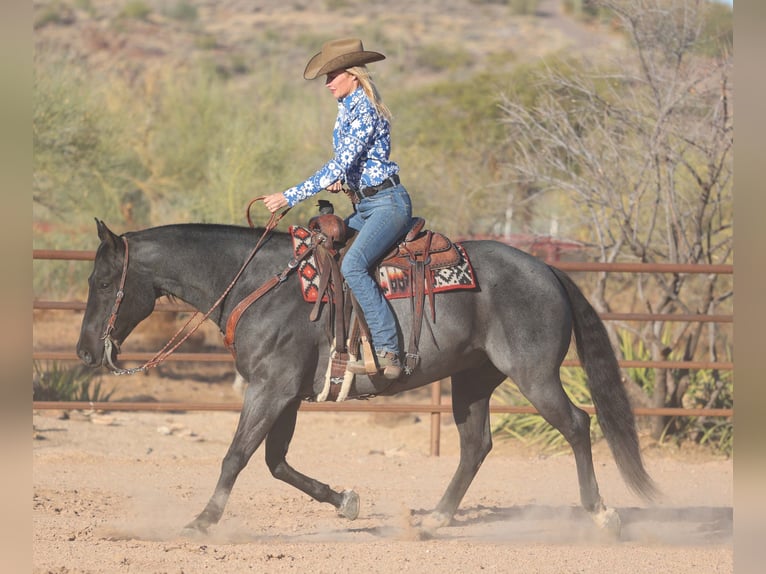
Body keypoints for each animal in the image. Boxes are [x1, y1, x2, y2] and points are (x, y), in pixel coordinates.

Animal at [76, 222, 660, 540]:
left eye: (102, 282)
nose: (84, 352)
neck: (258, 284)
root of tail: (547, 269)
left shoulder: (271, 387)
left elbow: (237, 456)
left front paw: (202, 521)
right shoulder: (287, 395)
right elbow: (275, 462)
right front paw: (346, 501)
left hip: (535, 375)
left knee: (578, 425)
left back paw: (602, 516)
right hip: (473, 379)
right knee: (476, 445)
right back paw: (435, 520)